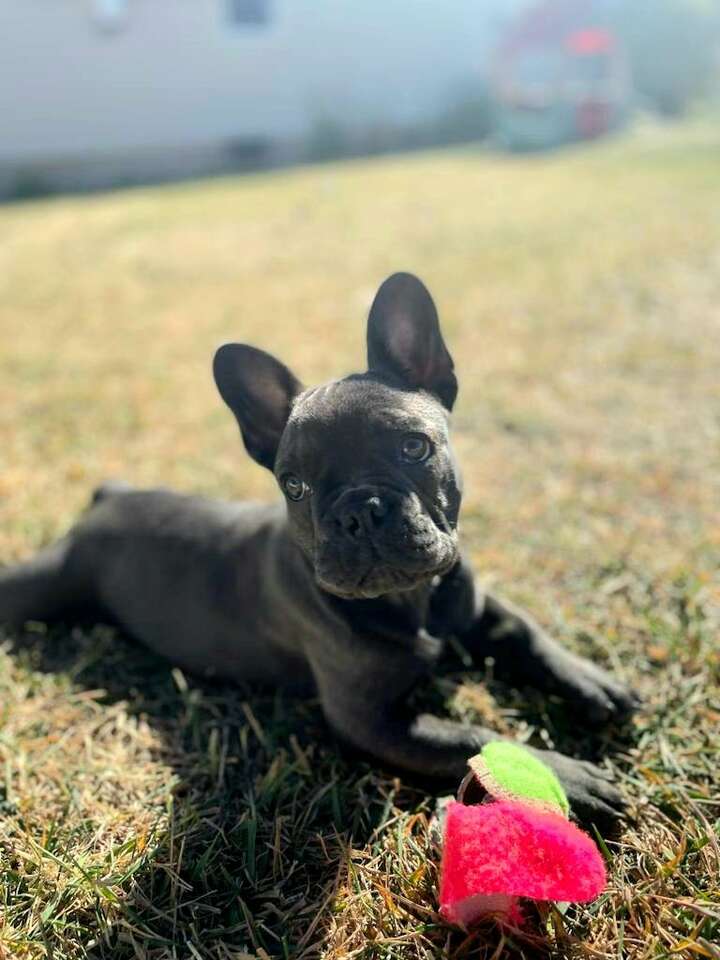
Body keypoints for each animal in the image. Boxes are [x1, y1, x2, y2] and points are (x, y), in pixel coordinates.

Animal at [0, 272, 640, 824]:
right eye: (294, 486)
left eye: (413, 447)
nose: (359, 510)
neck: (415, 601)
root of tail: (105, 501)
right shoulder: (376, 722)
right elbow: (476, 735)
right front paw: (561, 776)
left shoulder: (473, 604)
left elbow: (525, 632)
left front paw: (590, 679)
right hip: (45, 583)